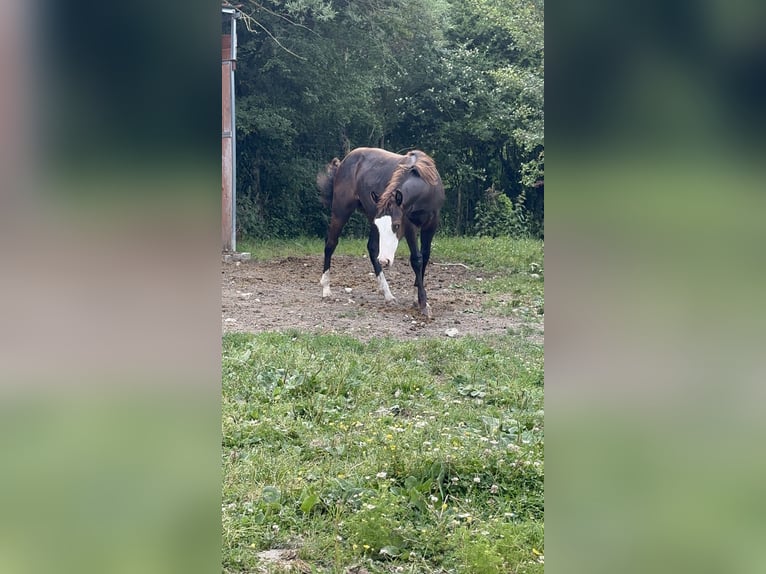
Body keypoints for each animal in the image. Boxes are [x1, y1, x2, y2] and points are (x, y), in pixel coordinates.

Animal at [316, 147, 446, 318]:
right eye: (382, 226)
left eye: (396, 225)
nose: (385, 260)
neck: (424, 184)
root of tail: (343, 163)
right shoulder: (409, 225)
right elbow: (416, 259)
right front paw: (423, 304)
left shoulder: (431, 225)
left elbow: (424, 257)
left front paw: (417, 299)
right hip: (340, 210)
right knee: (331, 244)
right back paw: (326, 288)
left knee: (372, 249)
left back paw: (387, 294)